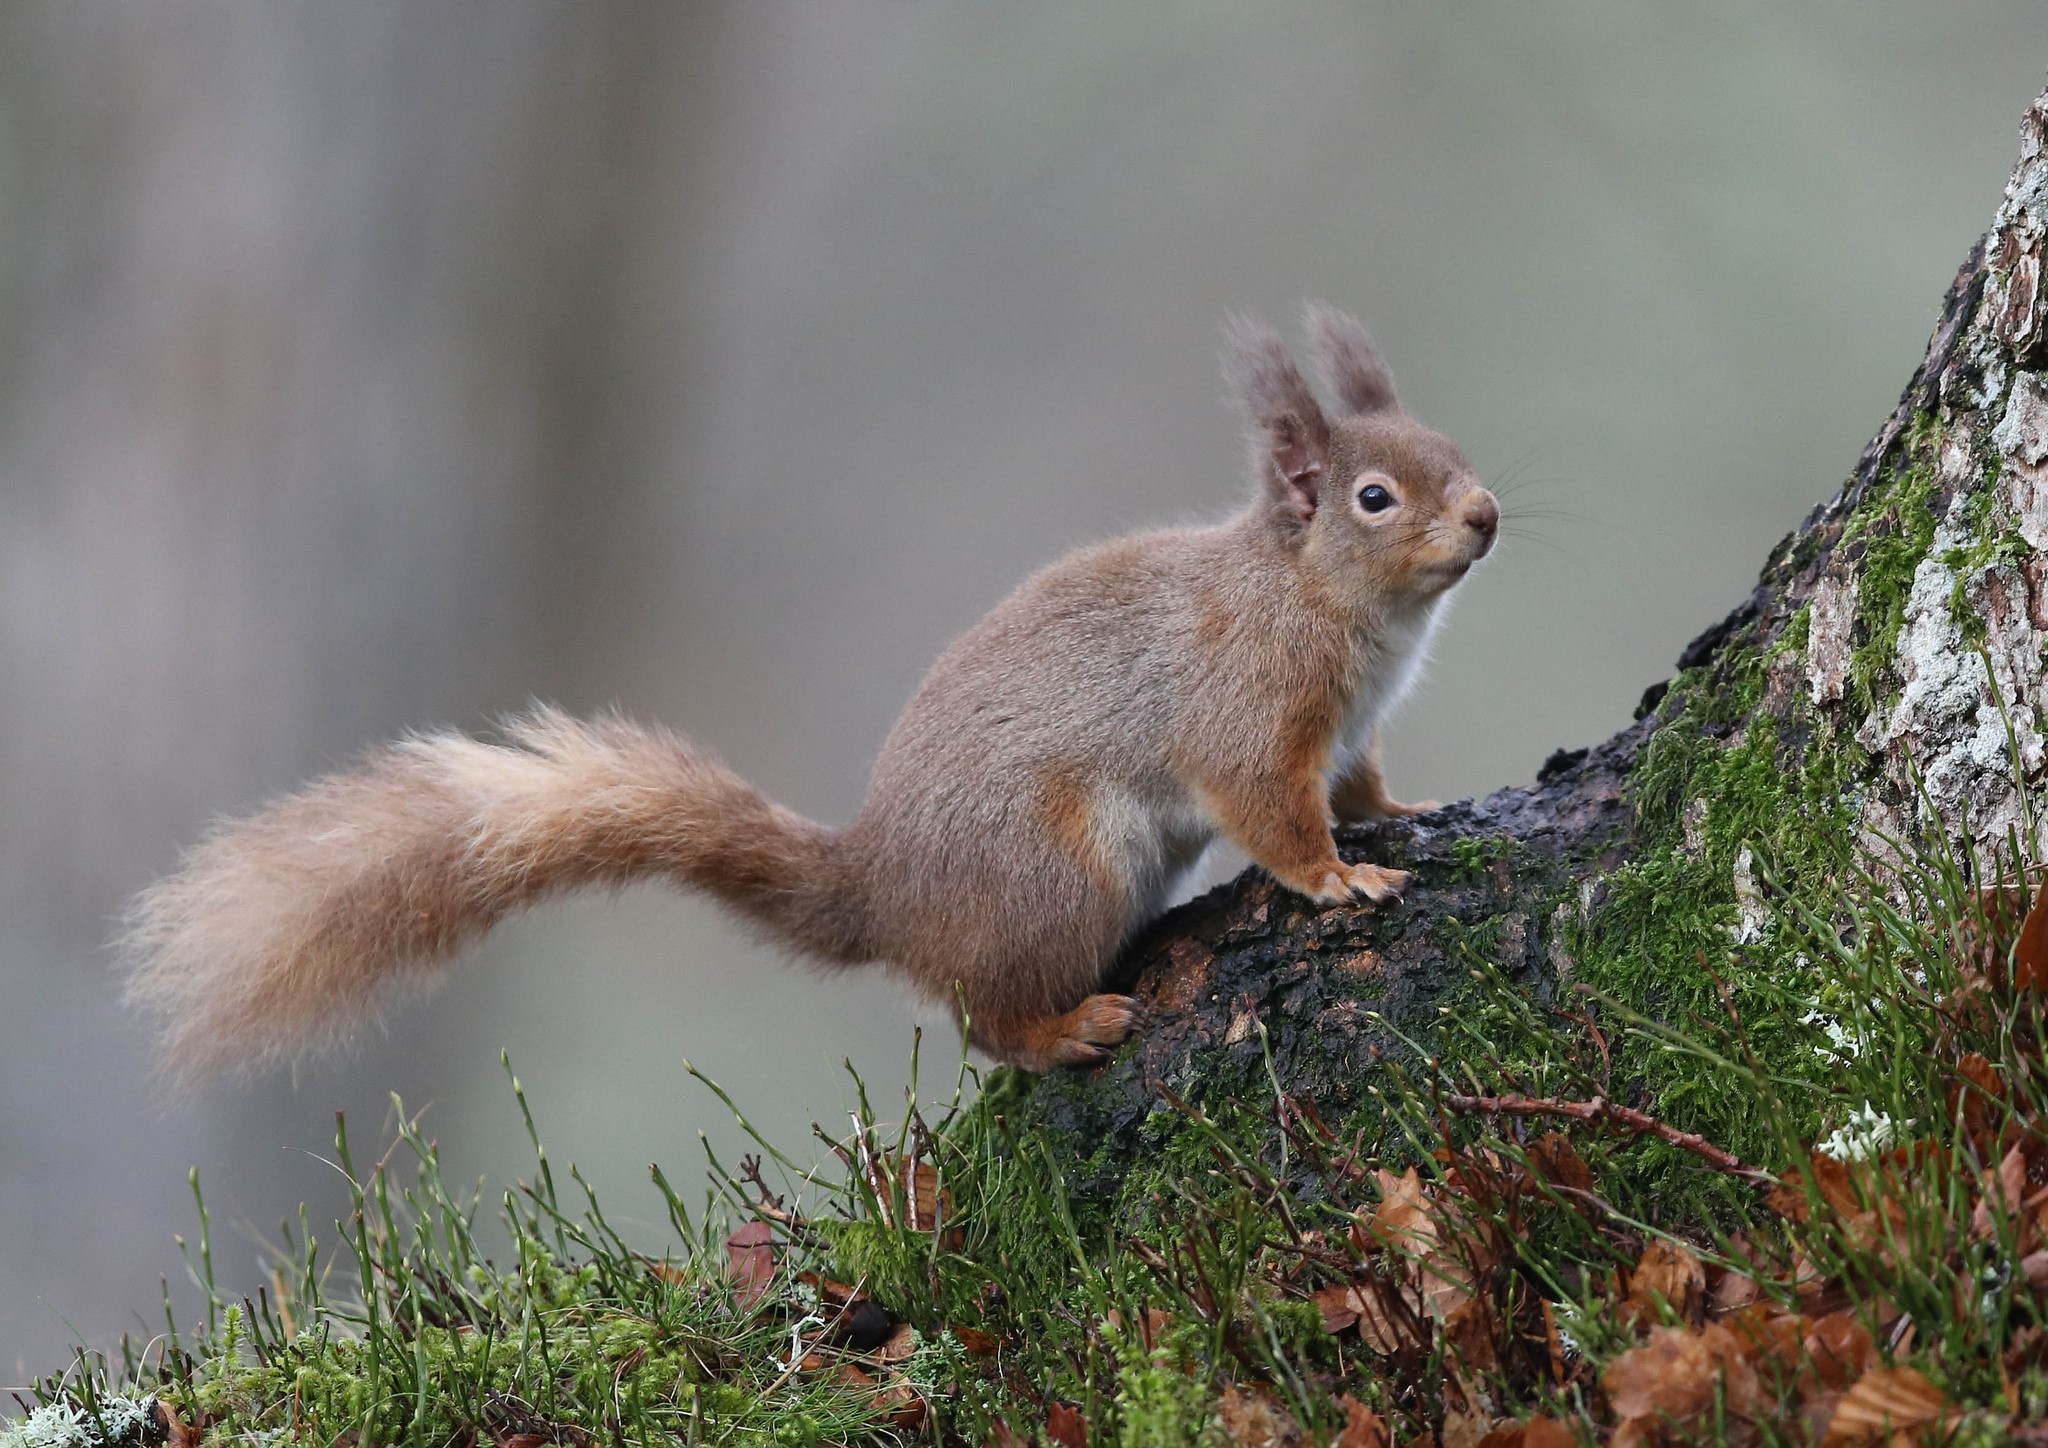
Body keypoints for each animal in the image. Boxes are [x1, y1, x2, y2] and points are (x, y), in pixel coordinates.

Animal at [122, 305, 1498, 1078]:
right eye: (1374, 496)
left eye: (1453, 449)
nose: (1485, 514)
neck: (1326, 603)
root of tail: (880, 890)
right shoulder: (1245, 710)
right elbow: (1270, 809)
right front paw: (1338, 879)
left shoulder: (1345, 732)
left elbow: (1357, 783)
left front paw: (1402, 817)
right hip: (1054, 876)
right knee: (984, 1018)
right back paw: (1064, 1031)